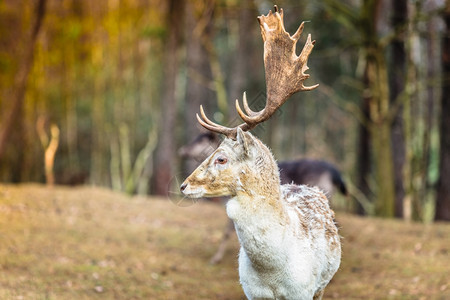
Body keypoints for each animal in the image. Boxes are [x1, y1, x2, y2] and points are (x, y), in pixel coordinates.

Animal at [179, 5, 342, 298]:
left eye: (221, 158)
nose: (184, 185)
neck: (273, 273)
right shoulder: (252, 291)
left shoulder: (303, 290)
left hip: (323, 285)